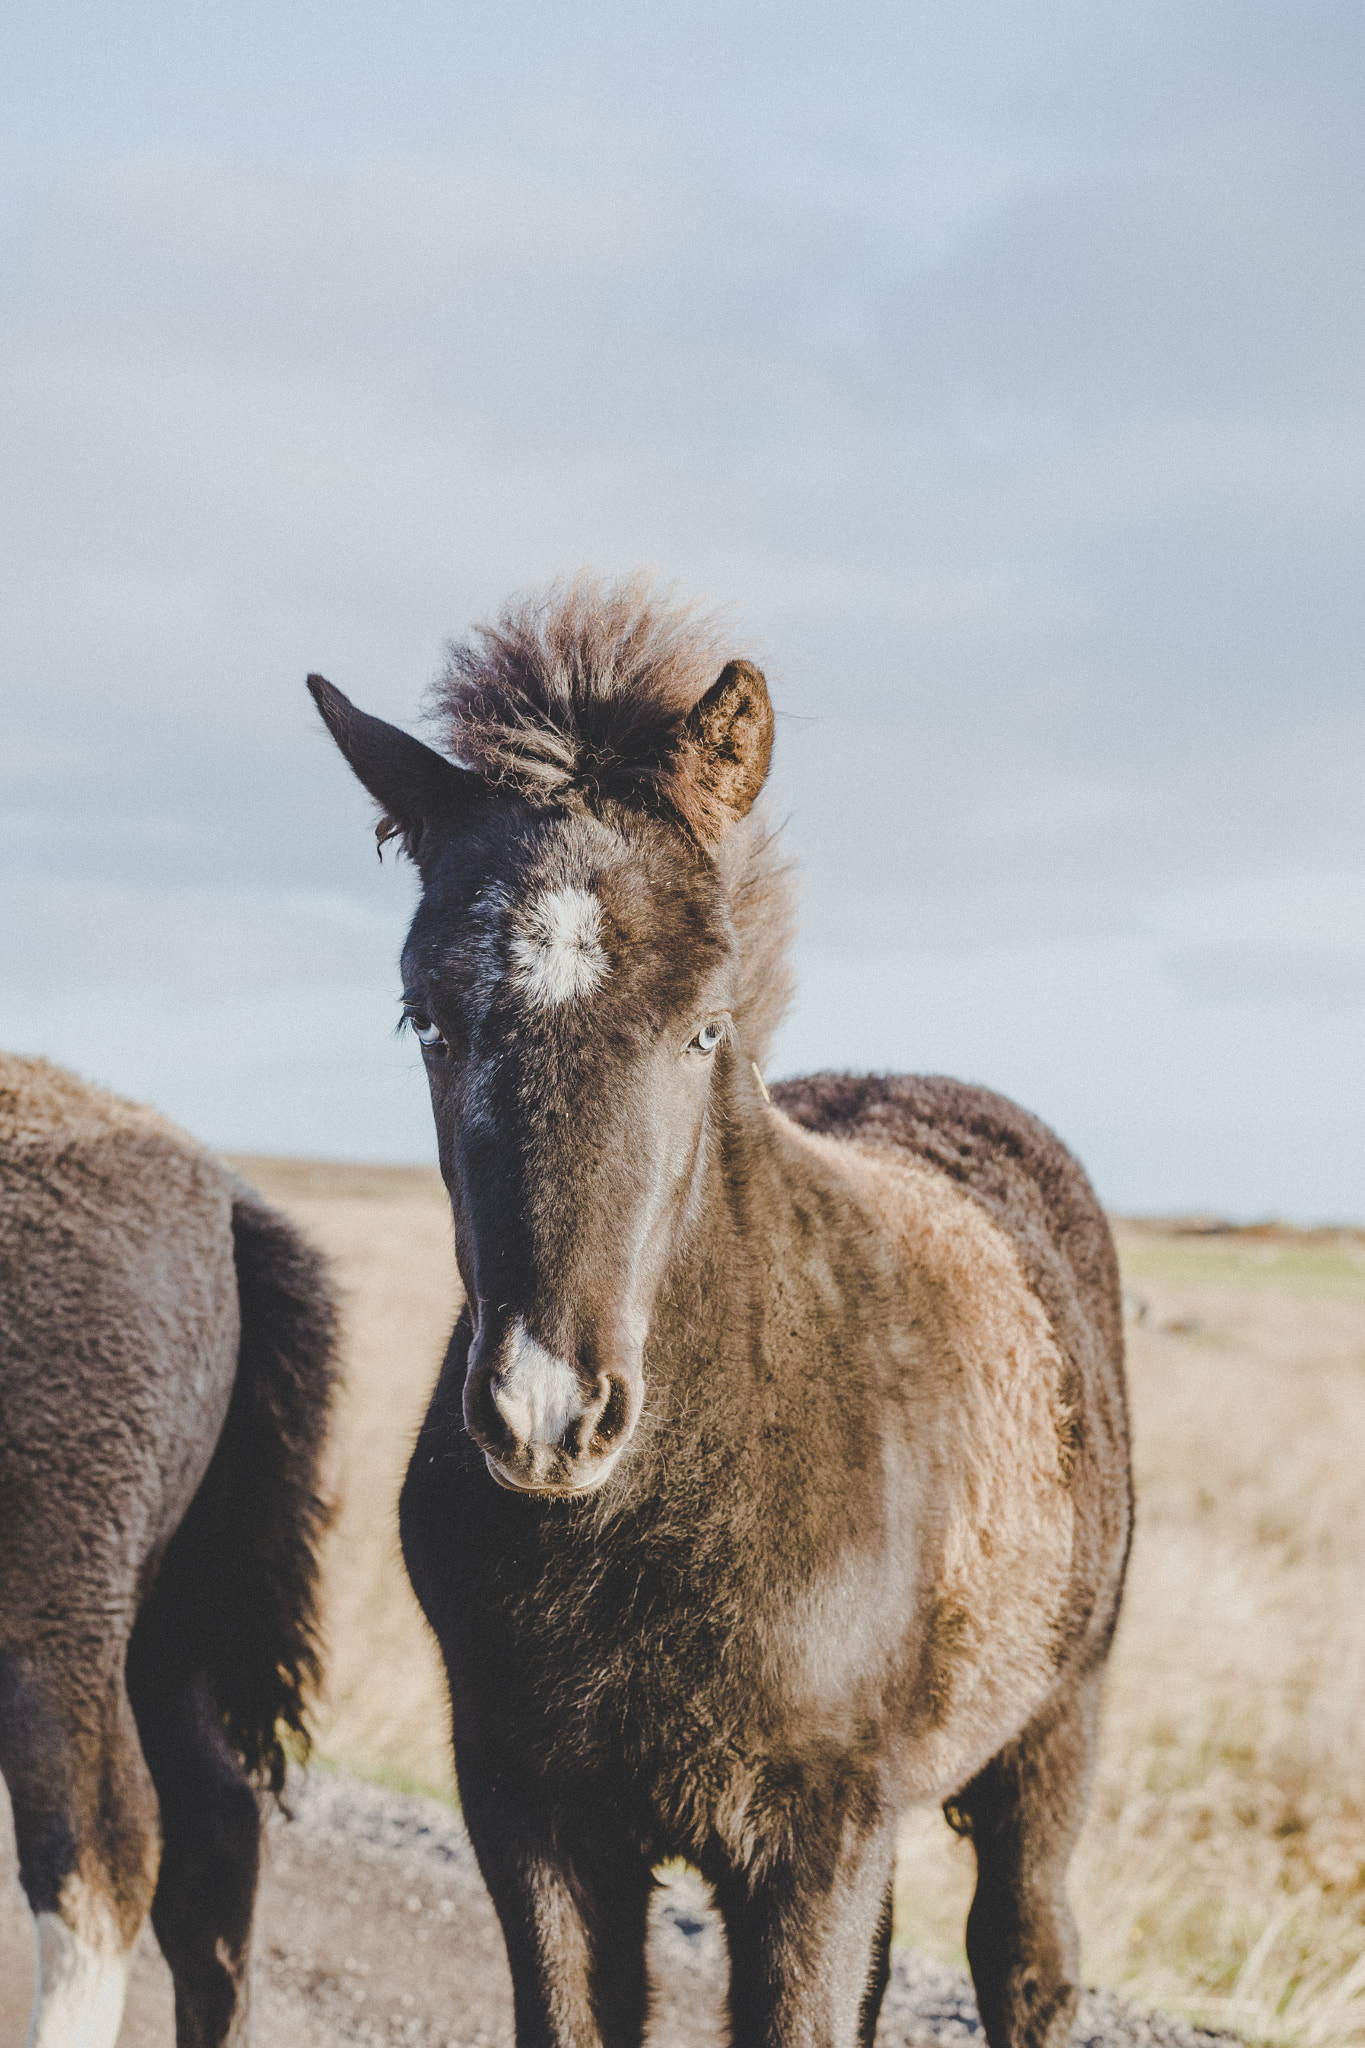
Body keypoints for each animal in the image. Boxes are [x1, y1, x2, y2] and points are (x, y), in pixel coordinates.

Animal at [309, 573, 1129, 2048]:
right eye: (426, 1019)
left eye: (702, 1024)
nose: (546, 1414)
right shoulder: (531, 1815)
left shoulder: (813, 1839)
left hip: (1053, 1726)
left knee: (1025, 1952)